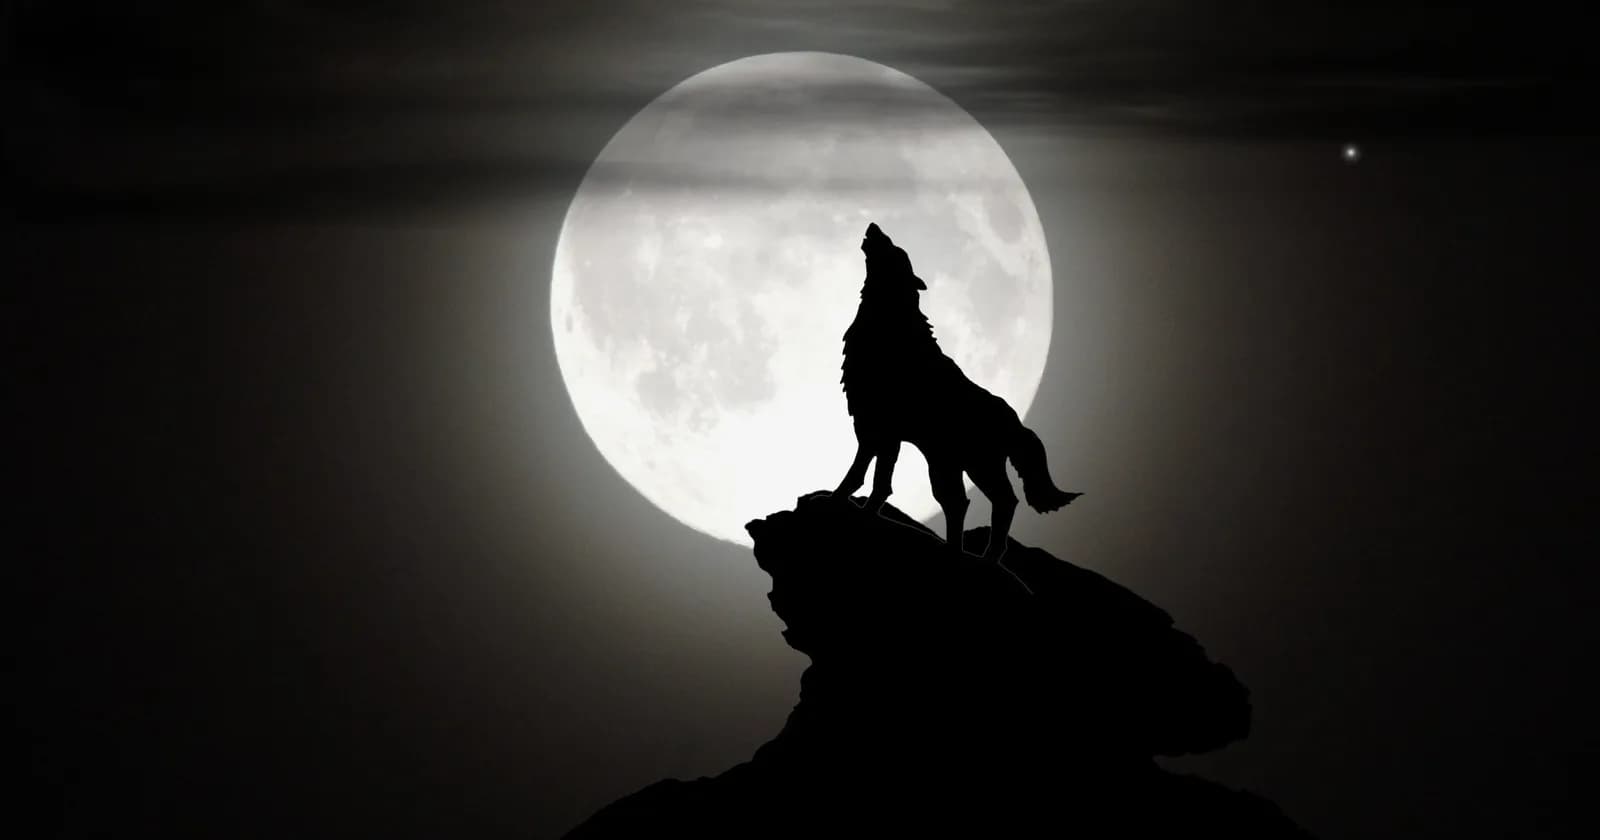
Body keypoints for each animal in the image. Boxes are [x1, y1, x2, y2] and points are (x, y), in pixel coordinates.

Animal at [830, 223, 1081, 561]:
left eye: (896, 250)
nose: (874, 226)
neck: (889, 324)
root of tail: (1016, 420)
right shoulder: (887, 435)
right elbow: (882, 481)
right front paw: (866, 512)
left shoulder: (873, 425)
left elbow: (861, 473)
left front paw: (836, 499)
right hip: (953, 465)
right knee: (969, 502)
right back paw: (965, 553)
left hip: (968, 465)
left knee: (991, 501)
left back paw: (978, 557)